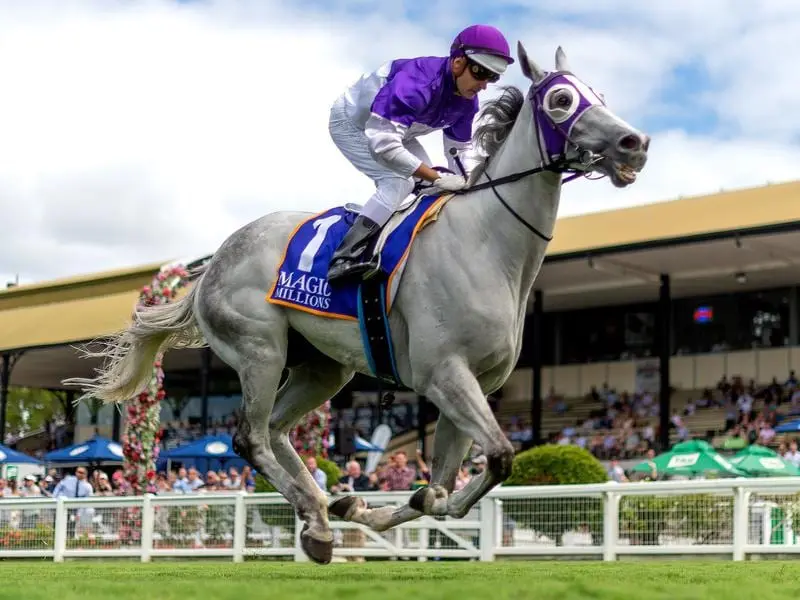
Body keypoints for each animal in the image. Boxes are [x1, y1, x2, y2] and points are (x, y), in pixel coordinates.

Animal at [64, 42, 648, 564]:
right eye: (561, 101)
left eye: (598, 94)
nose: (634, 142)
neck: (485, 244)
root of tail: (212, 264)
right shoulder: (443, 374)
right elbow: (500, 458)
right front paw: (373, 506)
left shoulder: (474, 385)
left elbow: (443, 490)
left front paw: (368, 505)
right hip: (259, 350)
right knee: (251, 438)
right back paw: (315, 519)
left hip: (321, 369)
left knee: (277, 432)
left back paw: (322, 514)